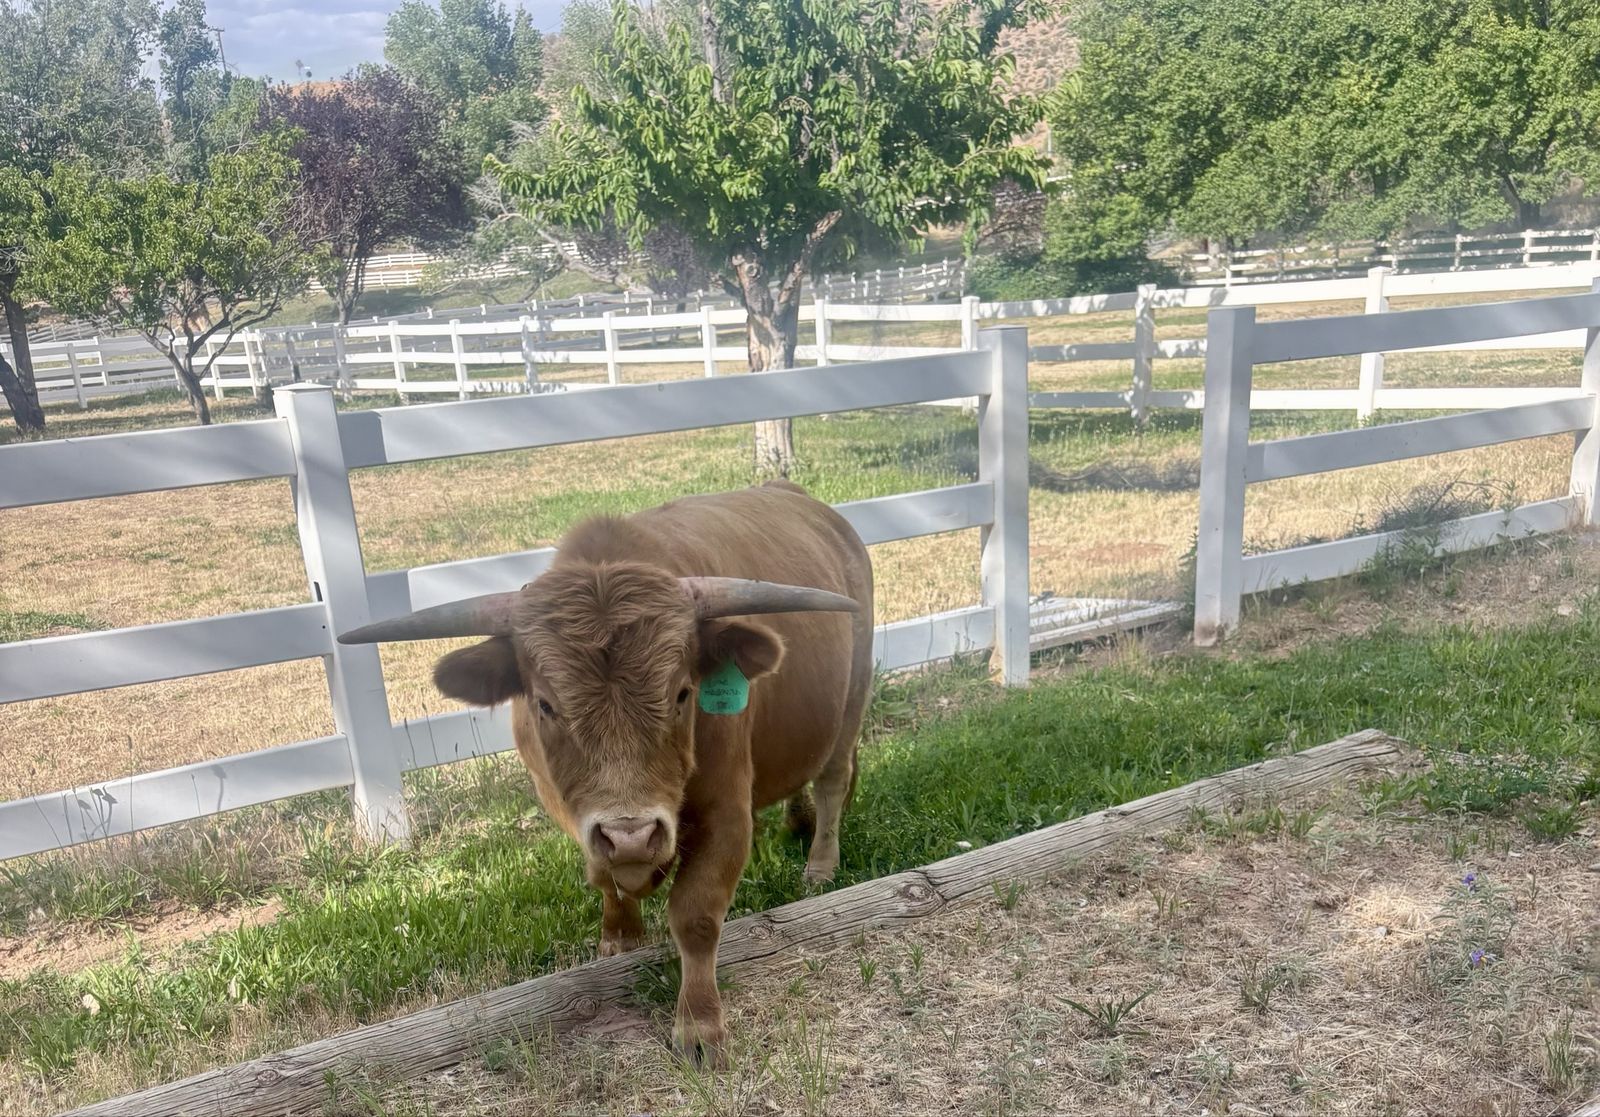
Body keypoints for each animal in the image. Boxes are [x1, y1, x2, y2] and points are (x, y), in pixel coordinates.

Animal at [338, 480, 874, 1059]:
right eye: (546, 704)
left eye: (682, 693)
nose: (632, 835)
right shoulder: (568, 809)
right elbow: (602, 877)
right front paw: (619, 936)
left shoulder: (727, 813)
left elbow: (696, 915)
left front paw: (699, 1025)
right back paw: (796, 822)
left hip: (851, 700)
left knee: (833, 780)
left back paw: (820, 863)